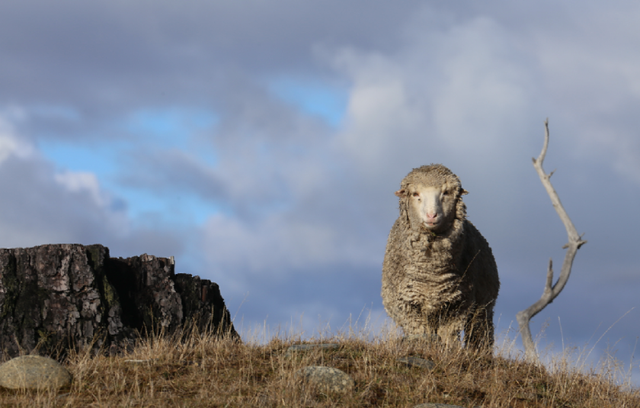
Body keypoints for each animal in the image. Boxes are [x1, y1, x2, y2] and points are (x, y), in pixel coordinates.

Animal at [380, 164, 500, 350]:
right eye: (415, 194)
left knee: (480, 333)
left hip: (484, 305)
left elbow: (448, 336)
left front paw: (449, 351)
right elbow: (419, 332)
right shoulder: (408, 305)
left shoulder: (457, 304)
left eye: (446, 192)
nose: (431, 216)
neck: (431, 271)